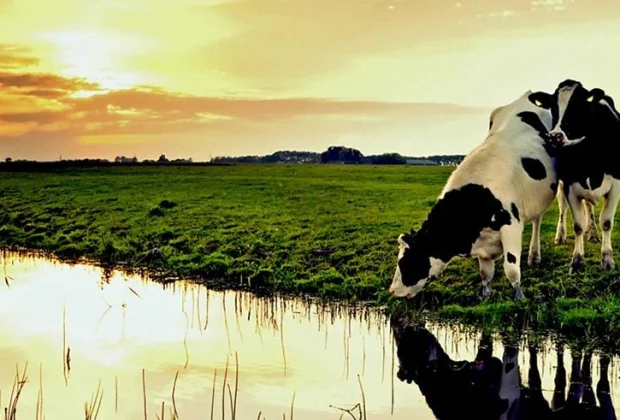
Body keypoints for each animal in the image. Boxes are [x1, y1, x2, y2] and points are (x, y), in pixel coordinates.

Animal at [390, 90, 564, 300]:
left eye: (406, 262)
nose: (392, 291)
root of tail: (527, 95)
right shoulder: (483, 244)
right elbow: (486, 273)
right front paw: (485, 295)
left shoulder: (511, 226)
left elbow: (511, 268)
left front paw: (519, 296)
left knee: (544, 217)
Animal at [536, 79, 620, 274]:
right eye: (552, 107)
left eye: (579, 105)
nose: (555, 136)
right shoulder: (569, 184)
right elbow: (578, 225)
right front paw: (577, 261)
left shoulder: (616, 184)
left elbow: (606, 222)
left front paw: (607, 259)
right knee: (562, 207)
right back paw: (560, 236)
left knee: (589, 208)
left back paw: (594, 234)